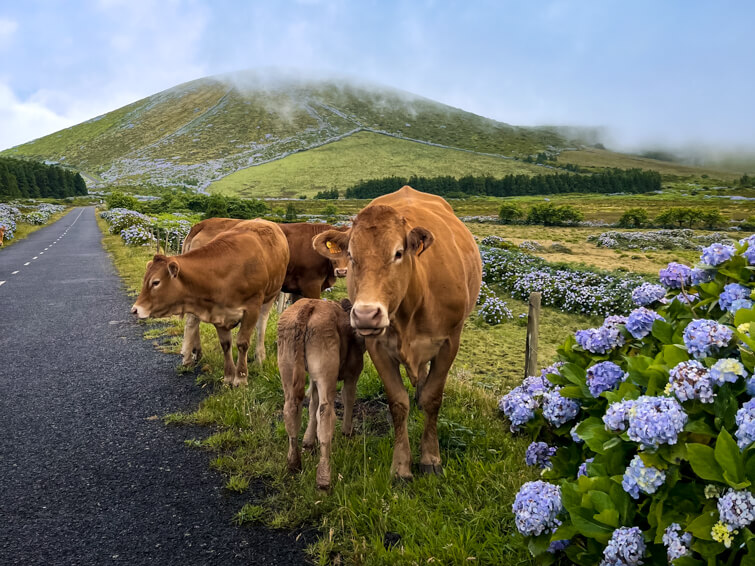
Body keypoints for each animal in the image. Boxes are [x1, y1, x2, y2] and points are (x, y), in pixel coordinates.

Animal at [132, 220, 290, 388]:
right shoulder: (217, 312)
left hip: (271, 294)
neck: (225, 273)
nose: (135, 309)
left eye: (156, 282)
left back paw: (259, 357)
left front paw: (241, 378)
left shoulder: (252, 308)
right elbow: (226, 344)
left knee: (261, 325)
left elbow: (242, 343)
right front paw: (228, 376)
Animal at [182, 217, 350, 368]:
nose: (342, 271)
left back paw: (196, 352)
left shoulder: (297, 291)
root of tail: (203, 223)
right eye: (338, 250)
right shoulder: (311, 285)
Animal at [280, 300, 370, 490]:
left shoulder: (314, 380)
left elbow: (312, 405)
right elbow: (348, 399)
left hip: (288, 364)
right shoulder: (352, 374)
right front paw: (347, 432)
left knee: (292, 409)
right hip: (325, 372)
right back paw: (324, 479)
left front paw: (308, 442)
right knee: (326, 413)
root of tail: (309, 304)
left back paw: (294, 463)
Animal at [314, 186, 484, 480]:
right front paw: (402, 466)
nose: (366, 314)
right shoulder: (377, 347)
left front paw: (431, 458)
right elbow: (398, 402)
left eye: (398, 253)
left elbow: (433, 398)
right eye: (351, 255)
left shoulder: (450, 342)